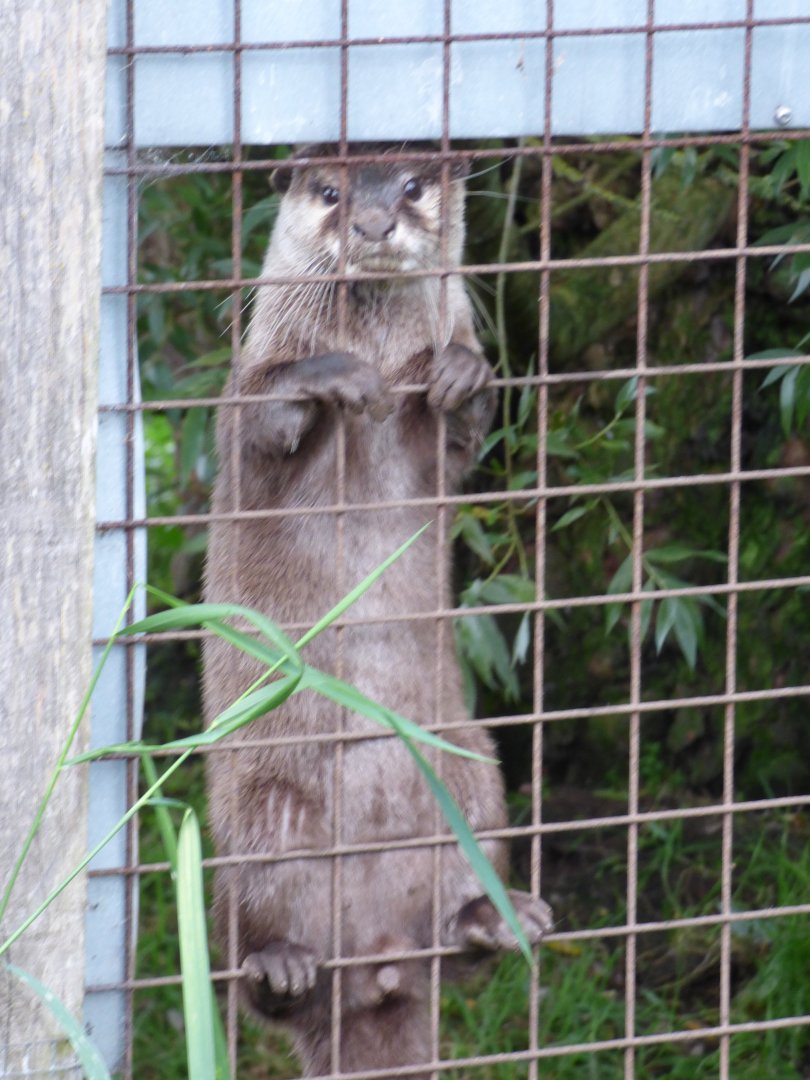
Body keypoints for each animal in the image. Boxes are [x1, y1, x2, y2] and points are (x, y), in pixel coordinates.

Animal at [203, 144, 552, 1079]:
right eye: (329, 190)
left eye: (414, 184)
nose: (371, 223)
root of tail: (380, 964)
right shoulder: (243, 405)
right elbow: (261, 424)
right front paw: (332, 379)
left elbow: (462, 435)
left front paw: (459, 375)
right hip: (259, 812)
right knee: (247, 974)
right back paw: (281, 964)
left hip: (474, 772)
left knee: (464, 938)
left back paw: (494, 918)